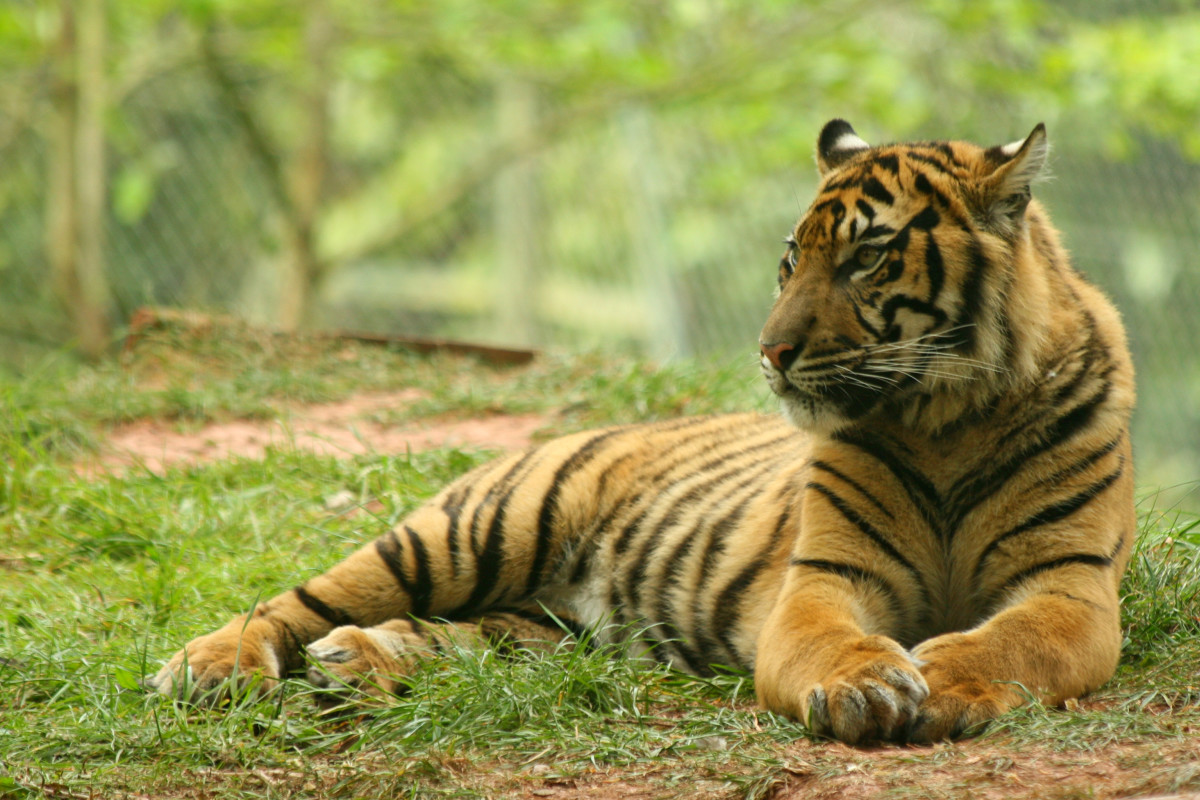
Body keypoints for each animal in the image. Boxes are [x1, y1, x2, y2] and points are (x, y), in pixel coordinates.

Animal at [146, 119, 1136, 745]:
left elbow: (1014, 641)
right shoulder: (824, 578)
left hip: (539, 629)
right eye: (791, 258)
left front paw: (946, 682)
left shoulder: (1070, 585)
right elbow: (832, 640)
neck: (948, 417)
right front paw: (868, 684)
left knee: (452, 640)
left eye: (866, 256)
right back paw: (210, 667)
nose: (771, 351)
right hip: (467, 532)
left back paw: (355, 662)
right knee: (297, 600)